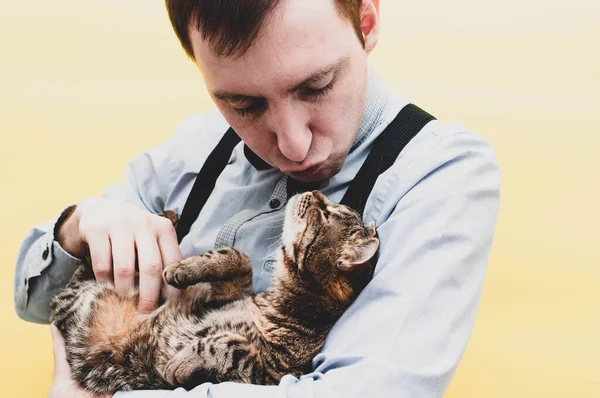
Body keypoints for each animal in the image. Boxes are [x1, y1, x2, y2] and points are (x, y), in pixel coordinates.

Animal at [51, 190, 380, 394]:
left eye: (326, 214)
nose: (315, 192)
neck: (272, 305)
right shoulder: (223, 296)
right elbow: (239, 258)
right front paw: (185, 268)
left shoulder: (268, 376)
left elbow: (226, 344)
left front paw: (182, 362)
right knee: (82, 267)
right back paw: (166, 216)